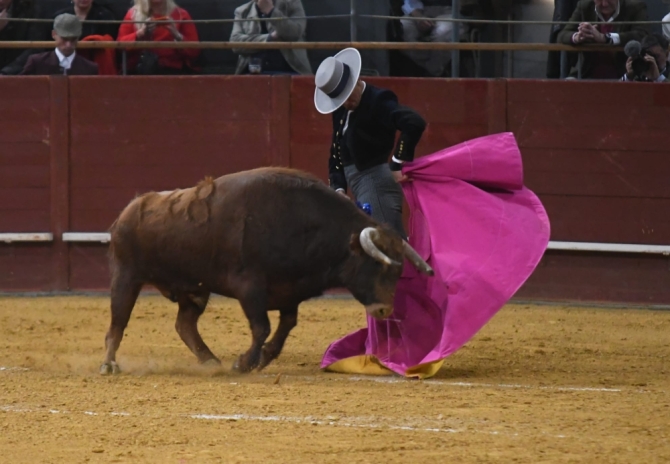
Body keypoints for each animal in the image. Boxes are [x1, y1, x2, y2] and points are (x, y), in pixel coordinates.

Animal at [101, 167, 436, 374]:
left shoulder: (289, 293)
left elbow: (286, 326)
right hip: (126, 277)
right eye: (375, 265)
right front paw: (244, 363)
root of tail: (129, 210)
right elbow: (261, 326)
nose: (384, 310)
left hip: (194, 290)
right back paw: (108, 365)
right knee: (117, 324)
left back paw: (210, 361)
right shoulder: (249, 288)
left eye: (397, 272)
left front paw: (261, 358)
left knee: (185, 324)